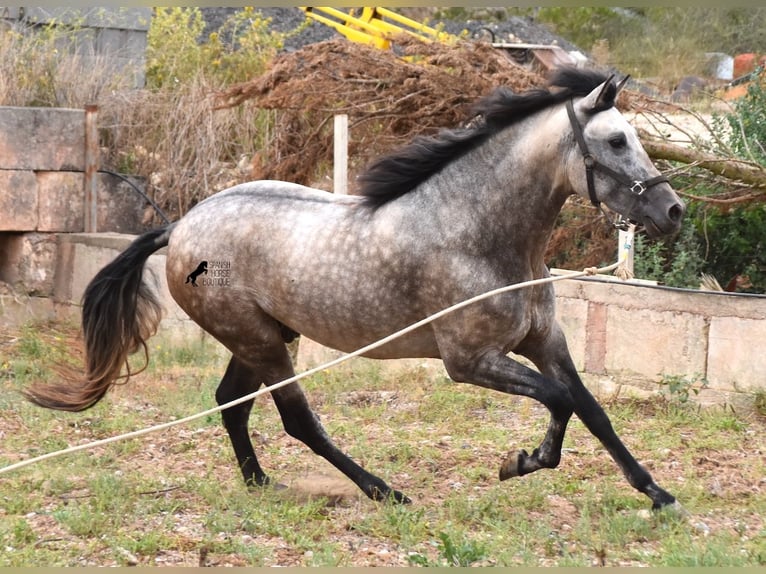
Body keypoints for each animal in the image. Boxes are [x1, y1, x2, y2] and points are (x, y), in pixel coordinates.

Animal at [27, 68, 684, 512]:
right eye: (617, 141)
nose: (672, 210)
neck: (479, 233)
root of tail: (181, 225)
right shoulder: (469, 361)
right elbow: (560, 400)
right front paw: (521, 462)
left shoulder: (544, 342)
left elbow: (590, 407)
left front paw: (657, 493)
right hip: (261, 342)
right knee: (297, 421)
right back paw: (384, 491)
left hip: (263, 338)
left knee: (231, 402)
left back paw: (260, 483)